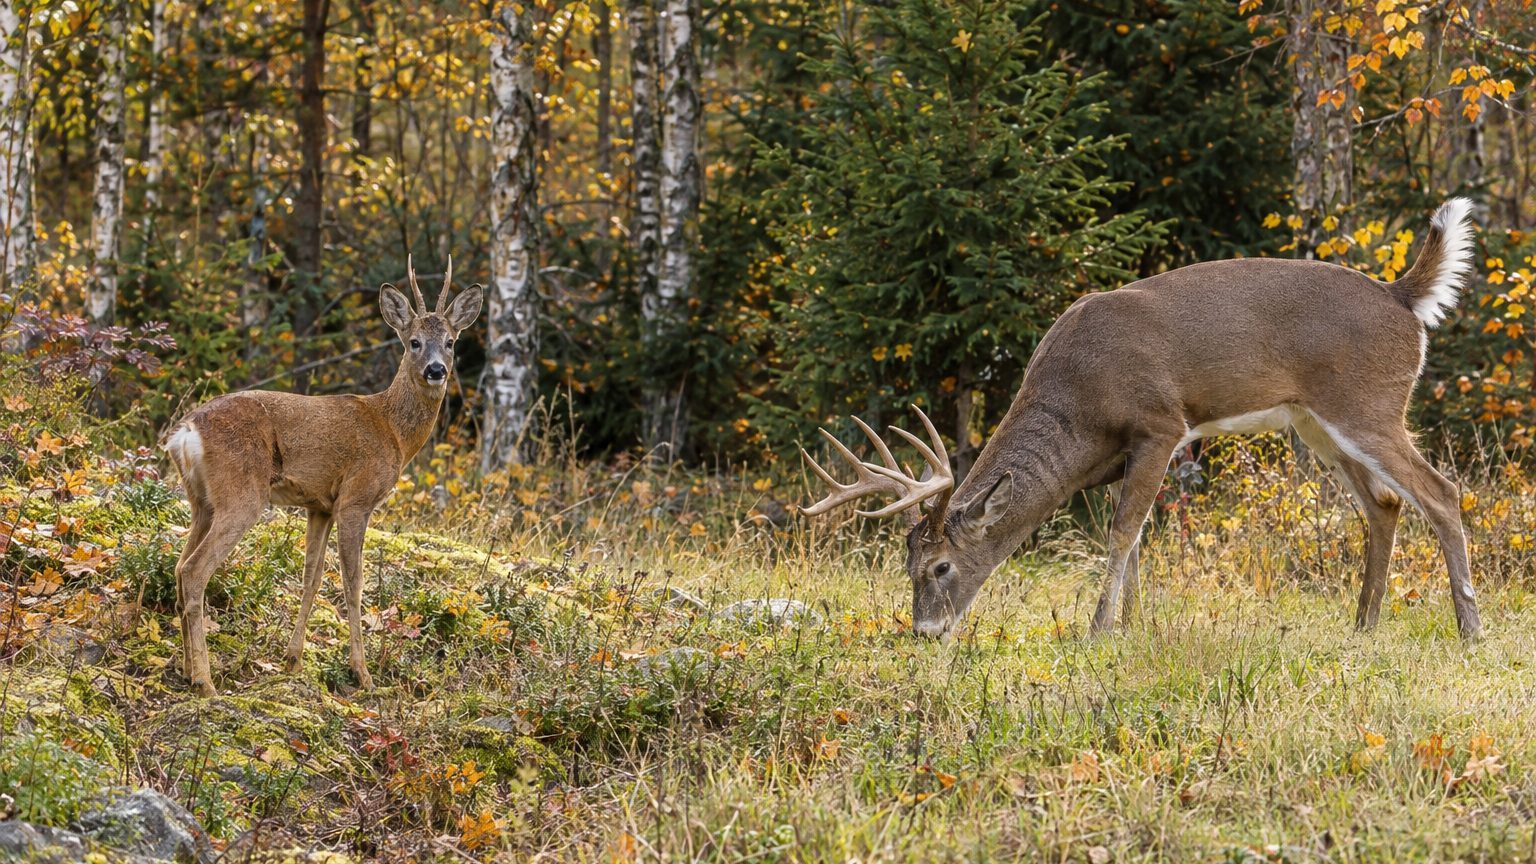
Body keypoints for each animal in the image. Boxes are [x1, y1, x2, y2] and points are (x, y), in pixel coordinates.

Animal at [163, 259, 482, 697]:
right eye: (414, 342)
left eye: (450, 342)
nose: (437, 370)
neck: (392, 431)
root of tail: (186, 432)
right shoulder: (355, 499)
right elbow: (353, 584)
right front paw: (362, 674)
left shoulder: (320, 506)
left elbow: (311, 579)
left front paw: (292, 660)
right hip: (241, 495)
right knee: (195, 571)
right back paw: (205, 681)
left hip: (201, 501)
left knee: (180, 567)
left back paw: (184, 669)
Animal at [802, 199, 1482, 643]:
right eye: (906, 566)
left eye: (940, 566)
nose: (924, 631)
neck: (1078, 401)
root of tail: (1401, 297)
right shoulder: (1117, 458)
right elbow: (1134, 540)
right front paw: (1131, 626)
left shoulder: (1160, 425)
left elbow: (1123, 533)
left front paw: (1099, 631)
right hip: (1316, 422)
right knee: (1384, 504)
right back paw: (1364, 625)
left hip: (1367, 405)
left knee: (1441, 491)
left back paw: (1469, 629)